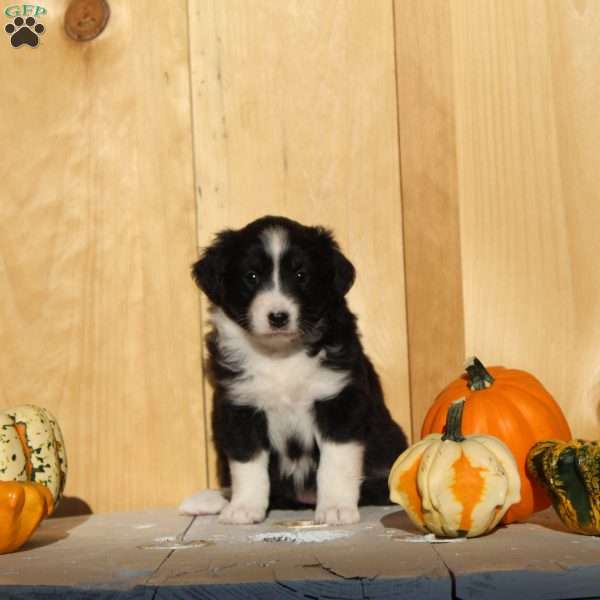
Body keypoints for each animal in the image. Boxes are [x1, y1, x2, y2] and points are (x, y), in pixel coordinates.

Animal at [179, 217, 408, 524]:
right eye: (251, 276)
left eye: (301, 276)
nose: (278, 317)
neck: (280, 356)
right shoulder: (240, 406)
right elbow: (247, 463)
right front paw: (244, 507)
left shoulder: (338, 400)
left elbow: (336, 463)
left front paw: (336, 508)